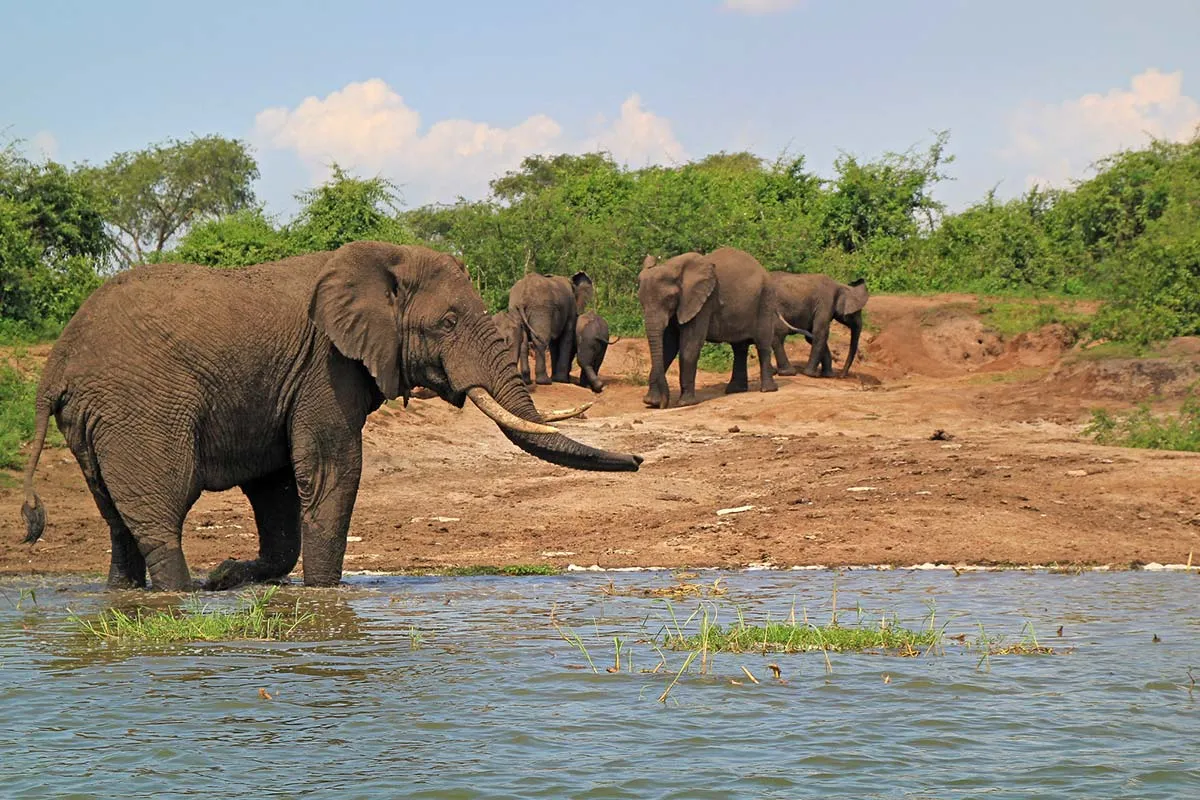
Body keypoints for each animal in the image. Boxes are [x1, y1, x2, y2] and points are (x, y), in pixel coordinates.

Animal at [20, 242, 641, 592]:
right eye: (447, 324)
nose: (638, 459)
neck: (382, 260)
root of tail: (56, 367)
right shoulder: (326, 367)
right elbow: (330, 470)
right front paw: (323, 595)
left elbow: (276, 489)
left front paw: (230, 576)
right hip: (139, 410)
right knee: (159, 510)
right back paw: (180, 596)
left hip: (95, 420)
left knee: (115, 514)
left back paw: (131, 595)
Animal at [638, 247, 787, 408]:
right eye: (641, 300)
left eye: (669, 298)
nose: (663, 404)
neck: (672, 267)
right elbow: (668, 347)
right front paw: (651, 402)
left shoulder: (703, 302)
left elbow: (690, 346)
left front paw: (685, 403)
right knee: (739, 348)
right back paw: (735, 390)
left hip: (765, 300)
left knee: (762, 343)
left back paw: (767, 389)